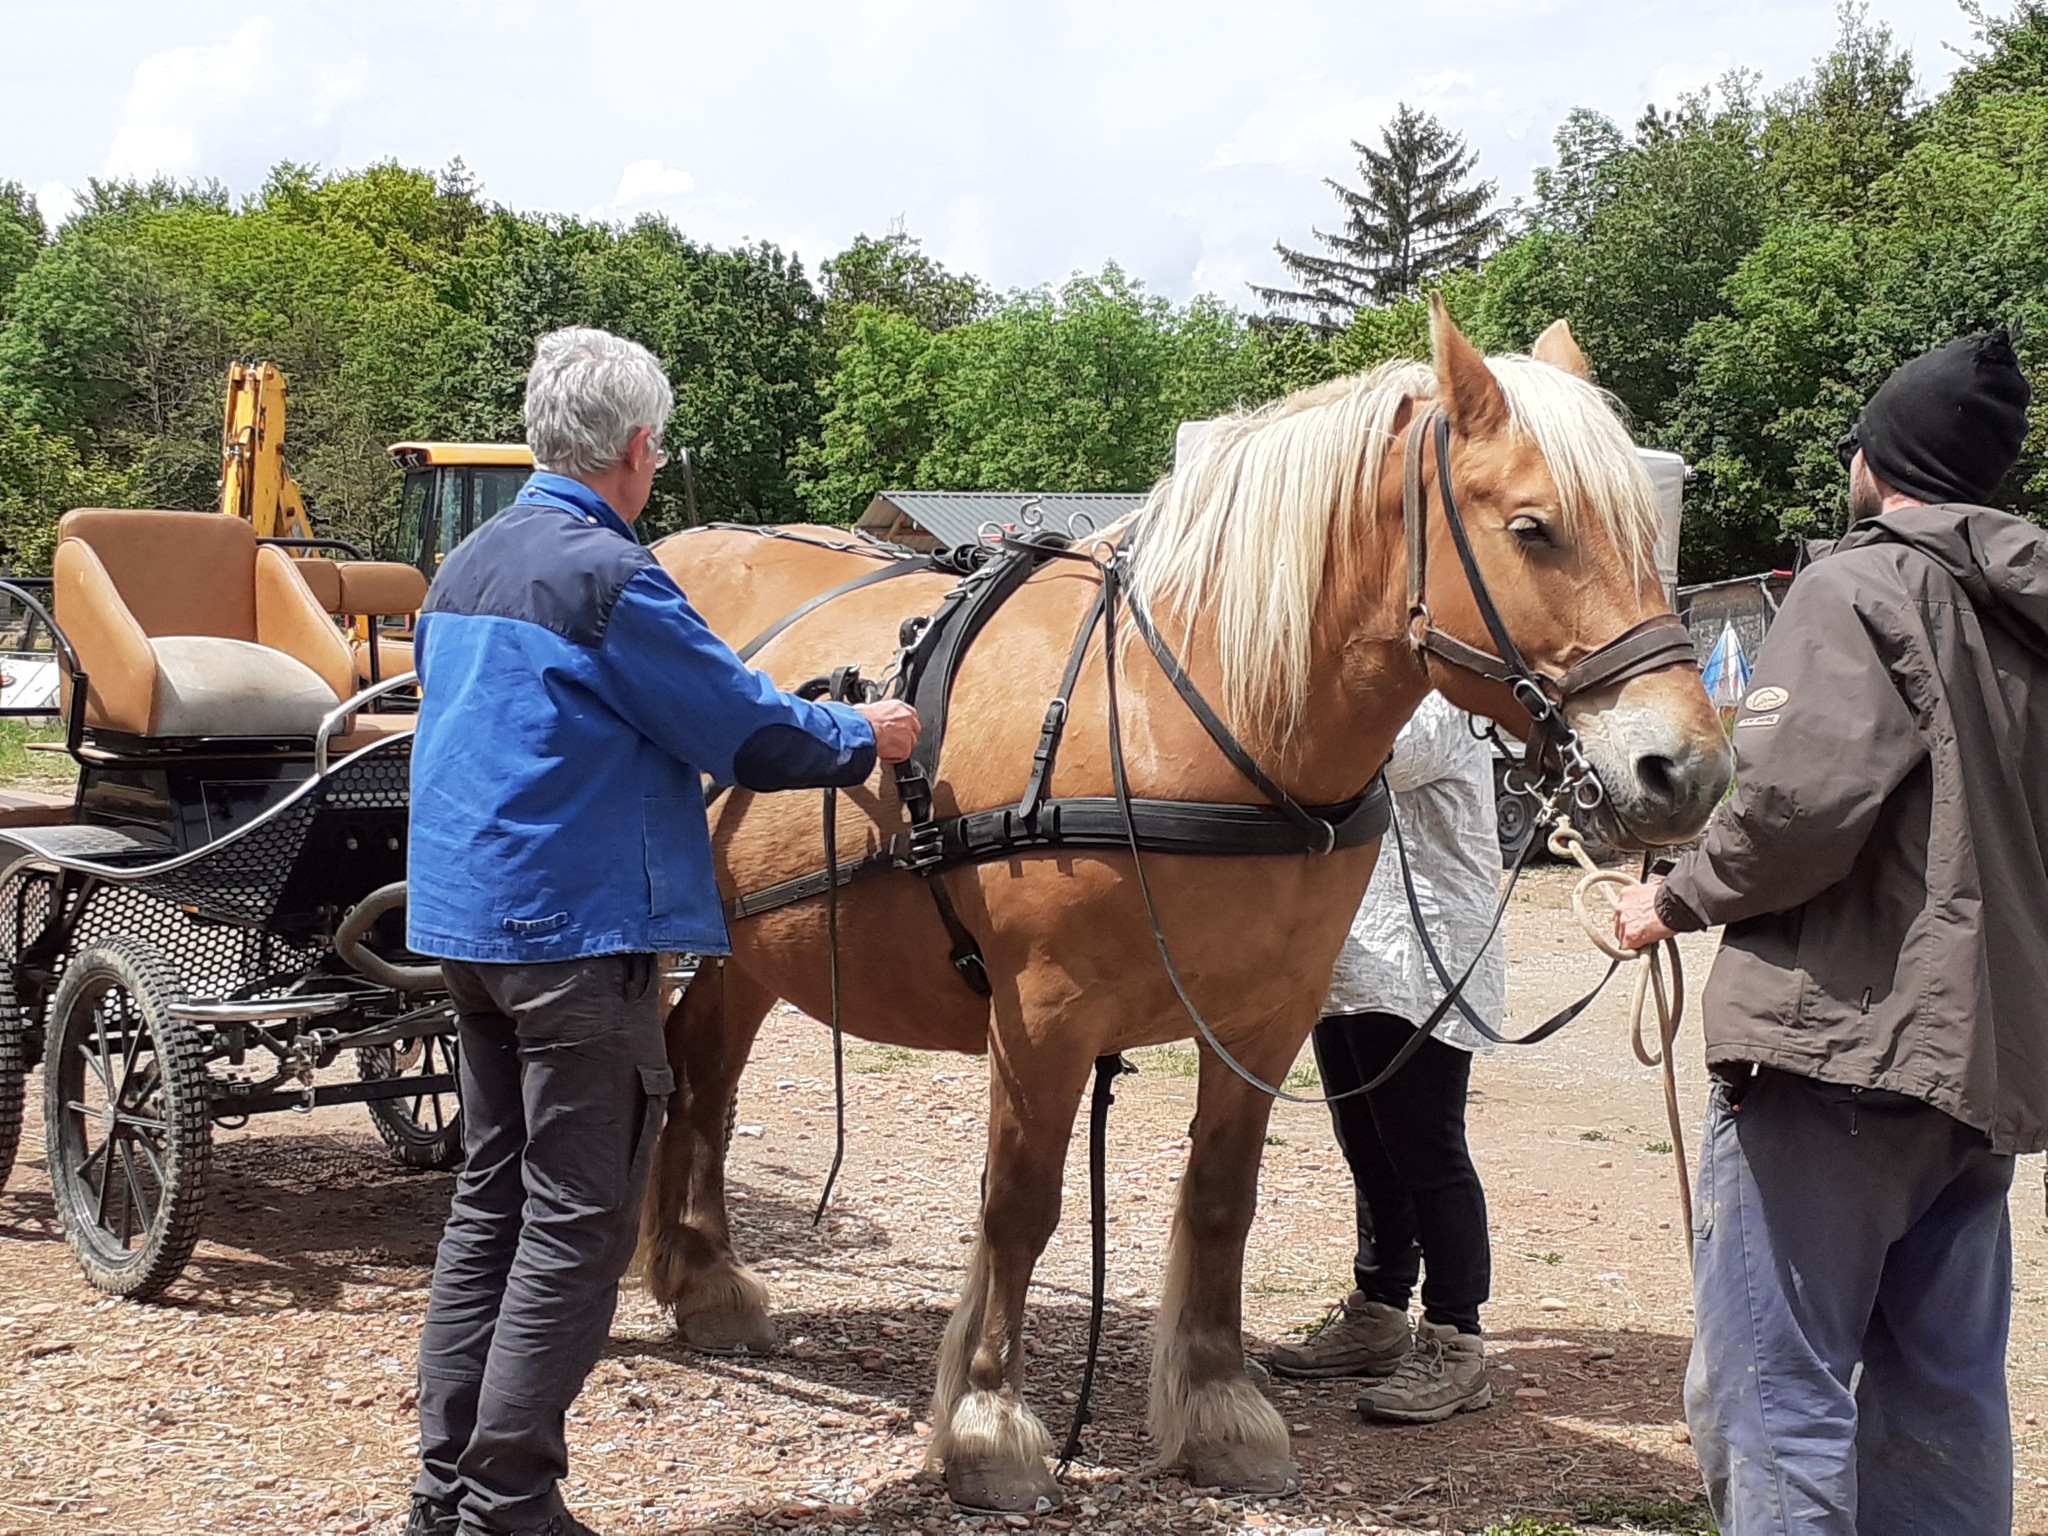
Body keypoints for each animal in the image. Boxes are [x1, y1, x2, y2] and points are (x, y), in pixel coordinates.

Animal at [636, 302, 1732, 1512]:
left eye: (1648, 534)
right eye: (1535, 529)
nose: (1684, 771)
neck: (1184, 714)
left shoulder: (1264, 1018)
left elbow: (1220, 1200)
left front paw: (1215, 1411)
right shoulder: (1040, 1023)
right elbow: (1020, 1205)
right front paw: (988, 1424)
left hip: (751, 947)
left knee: (701, 1073)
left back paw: (703, 1281)